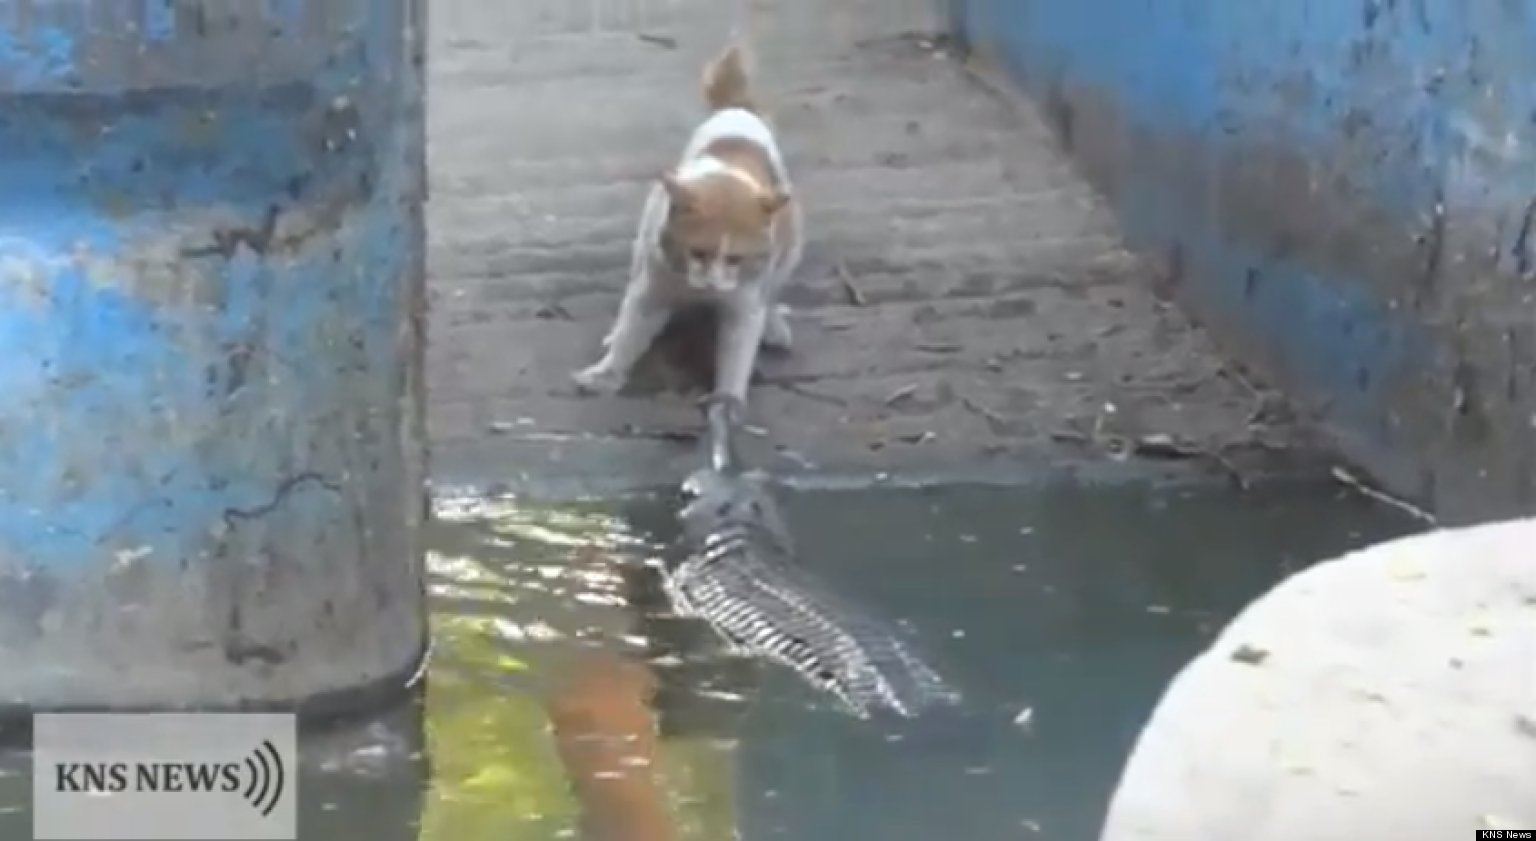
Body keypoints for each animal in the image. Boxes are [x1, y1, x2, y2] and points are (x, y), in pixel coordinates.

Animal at [568, 37, 804, 405]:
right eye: (697, 252)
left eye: (736, 259)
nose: (712, 284)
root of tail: (738, 110)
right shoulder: (654, 282)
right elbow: (633, 328)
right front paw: (607, 371)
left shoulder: (744, 298)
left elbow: (738, 348)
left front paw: (728, 399)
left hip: (790, 243)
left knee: (774, 286)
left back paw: (772, 322)